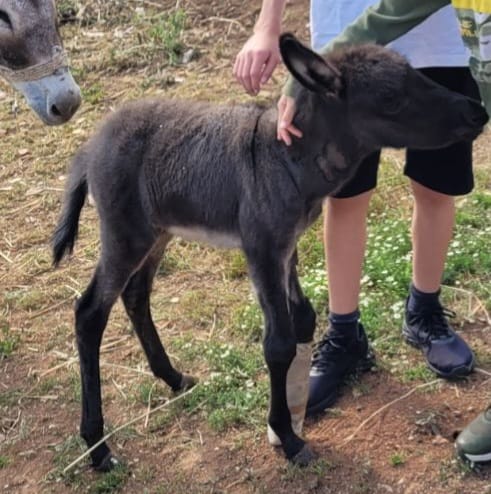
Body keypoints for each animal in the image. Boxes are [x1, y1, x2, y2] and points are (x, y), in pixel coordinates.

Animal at [52, 34, 488, 470]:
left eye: (418, 74)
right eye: (391, 99)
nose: (477, 112)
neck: (285, 156)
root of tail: (91, 145)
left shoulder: (285, 246)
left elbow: (303, 317)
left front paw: (295, 409)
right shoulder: (261, 247)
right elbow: (277, 343)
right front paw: (288, 437)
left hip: (157, 231)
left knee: (135, 295)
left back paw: (173, 378)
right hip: (126, 233)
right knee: (90, 313)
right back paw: (97, 445)